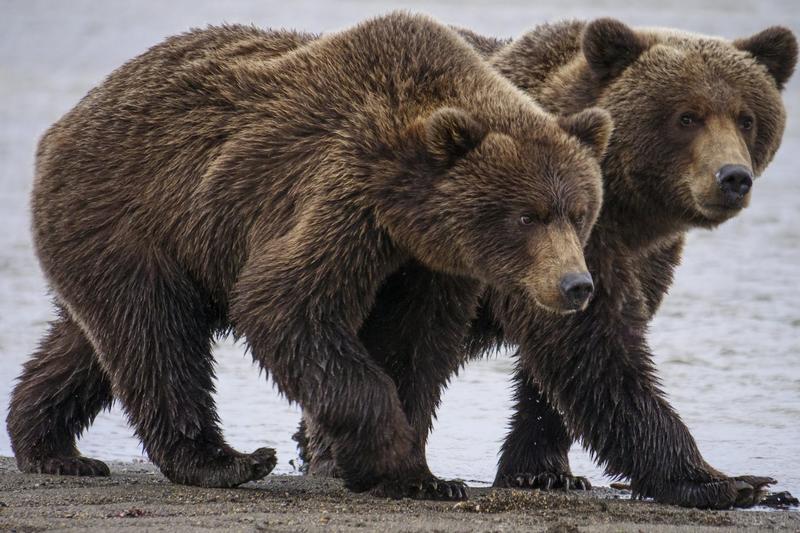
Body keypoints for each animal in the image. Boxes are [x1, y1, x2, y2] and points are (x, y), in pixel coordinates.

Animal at [5, 13, 613, 500]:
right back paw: (229, 461)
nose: (575, 284)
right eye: (527, 216)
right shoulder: (340, 193)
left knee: (92, 342)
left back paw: (51, 446)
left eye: (580, 211)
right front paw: (393, 457)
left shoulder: (431, 264)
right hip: (132, 214)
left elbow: (415, 347)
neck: (405, 204)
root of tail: (68, 119)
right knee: (157, 336)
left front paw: (422, 476)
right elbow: (285, 305)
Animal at [296, 19, 797, 509]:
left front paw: (544, 472)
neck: (625, 208)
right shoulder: (554, 244)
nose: (733, 178)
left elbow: (565, 365)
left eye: (747, 118)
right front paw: (725, 480)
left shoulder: (633, 256)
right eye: (687, 116)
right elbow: (597, 352)